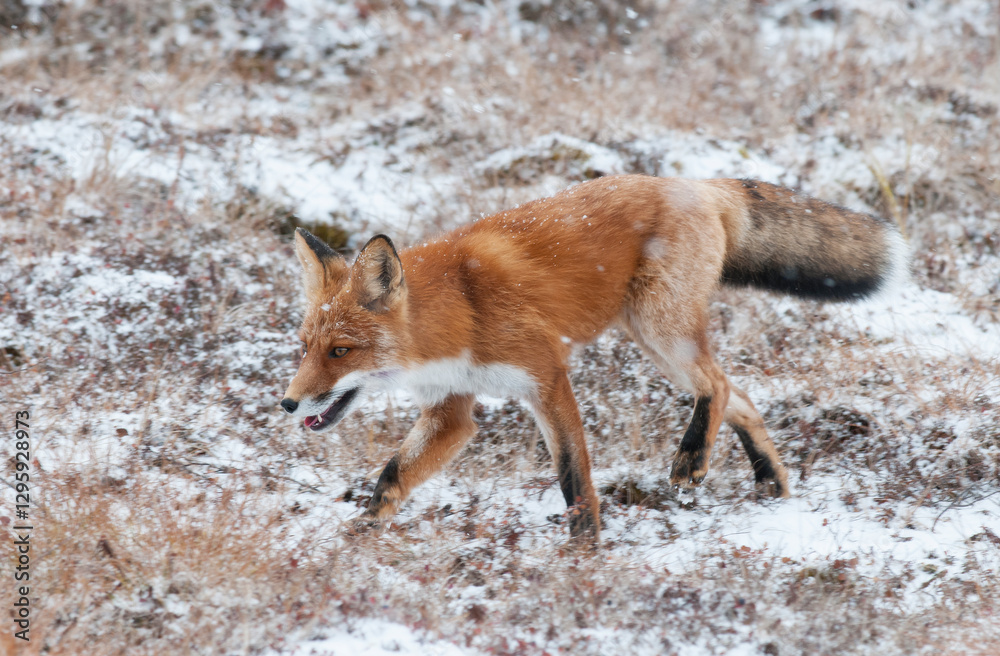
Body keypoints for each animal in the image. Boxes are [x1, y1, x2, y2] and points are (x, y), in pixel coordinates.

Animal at [280, 174, 907, 538]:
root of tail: (695, 180)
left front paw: (585, 556)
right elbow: (391, 476)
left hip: (663, 335)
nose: (287, 404)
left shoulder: (546, 377)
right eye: (306, 347)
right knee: (743, 397)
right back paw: (770, 481)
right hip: (655, 343)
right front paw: (357, 539)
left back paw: (691, 459)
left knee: (720, 386)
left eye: (341, 351)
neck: (462, 309)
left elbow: (573, 477)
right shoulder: (451, 410)